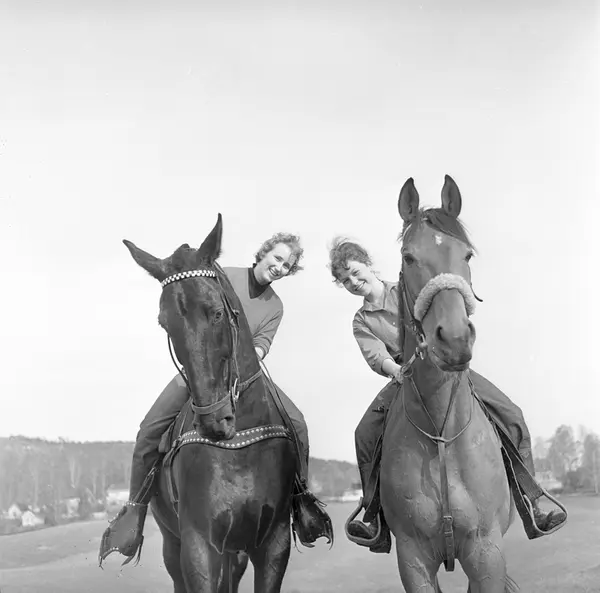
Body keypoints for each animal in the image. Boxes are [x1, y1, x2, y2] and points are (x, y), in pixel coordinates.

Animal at [122, 214, 297, 593]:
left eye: (217, 313)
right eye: (165, 323)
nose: (214, 421)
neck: (238, 449)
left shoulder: (273, 543)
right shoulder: (198, 545)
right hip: (174, 545)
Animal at [380, 175, 517, 593]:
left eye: (467, 255)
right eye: (409, 257)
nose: (454, 339)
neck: (441, 434)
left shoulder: (488, 553)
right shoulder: (412, 559)